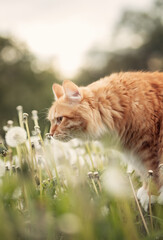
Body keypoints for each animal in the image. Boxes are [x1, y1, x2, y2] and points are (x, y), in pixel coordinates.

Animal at [48, 71, 163, 210]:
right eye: (51, 121)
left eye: (60, 119)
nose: (50, 134)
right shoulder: (135, 152)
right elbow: (145, 173)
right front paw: (146, 191)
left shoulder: (148, 147)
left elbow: (153, 173)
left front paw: (151, 195)